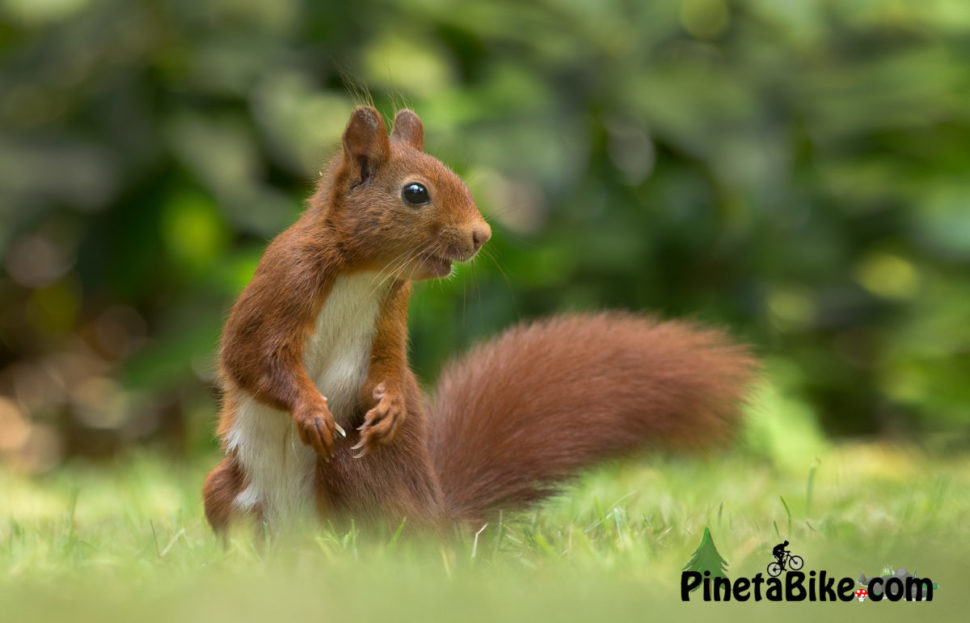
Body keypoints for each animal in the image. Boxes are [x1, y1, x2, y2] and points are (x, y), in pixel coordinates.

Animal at [200, 106, 752, 532]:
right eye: (415, 192)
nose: (481, 234)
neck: (364, 273)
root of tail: (442, 519)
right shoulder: (286, 281)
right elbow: (252, 356)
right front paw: (312, 410)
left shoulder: (391, 310)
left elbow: (388, 361)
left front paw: (392, 406)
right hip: (224, 488)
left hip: (352, 472)